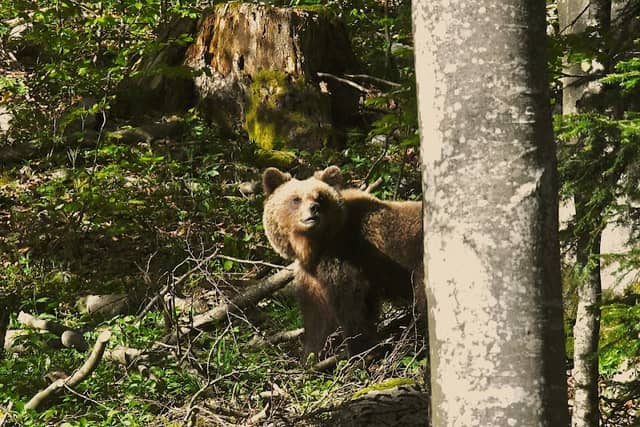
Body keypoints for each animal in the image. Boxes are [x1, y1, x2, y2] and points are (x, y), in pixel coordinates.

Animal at [262, 165, 424, 361]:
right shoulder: (312, 276)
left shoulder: (346, 257)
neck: (315, 246)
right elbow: (316, 317)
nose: (314, 209)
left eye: (320, 197)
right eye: (296, 199)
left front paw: (363, 351)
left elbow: (353, 305)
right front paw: (310, 356)